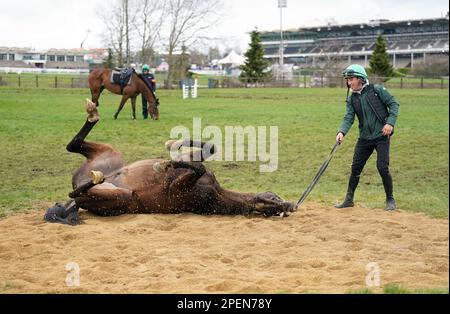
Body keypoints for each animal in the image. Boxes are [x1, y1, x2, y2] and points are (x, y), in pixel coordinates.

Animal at [44, 100, 294, 226]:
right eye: (275, 199)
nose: (289, 205)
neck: (215, 193)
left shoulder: (178, 186)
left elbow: (196, 165)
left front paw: (164, 164)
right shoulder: (193, 162)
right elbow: (209, 149)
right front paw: (173, 145)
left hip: (120, 196)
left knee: (75, 191)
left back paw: (96, 176)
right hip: (111, 154)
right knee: (73, 149)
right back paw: (92, 113)